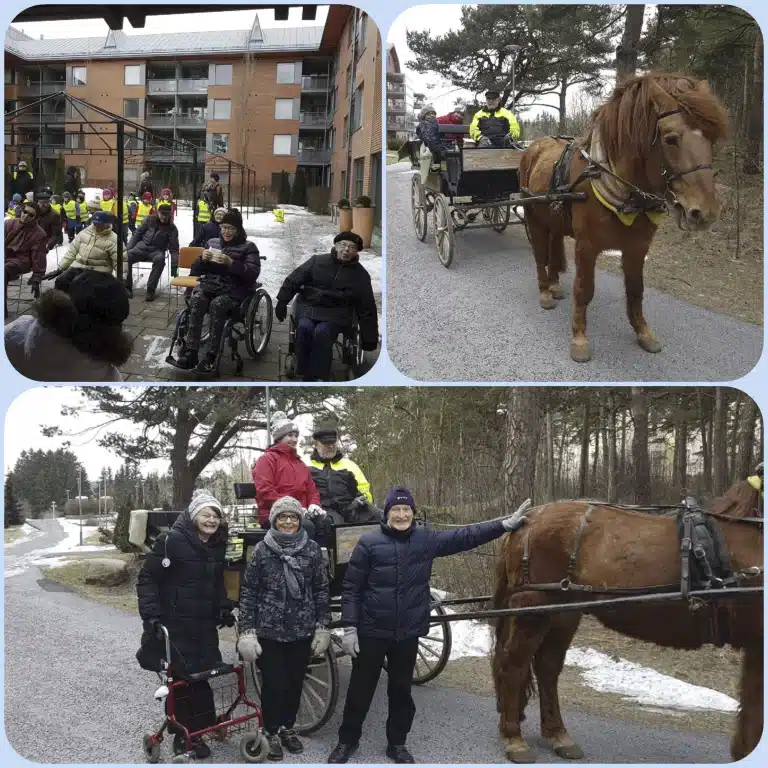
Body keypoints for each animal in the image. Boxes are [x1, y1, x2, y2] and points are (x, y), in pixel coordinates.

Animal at [492, 480, 760, 760]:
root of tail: (528, 519)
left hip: (564, 612)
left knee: (547, 667)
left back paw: (557, 734)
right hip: (533, 608)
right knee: (514, 665)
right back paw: (514, 738)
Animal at [520, 73, 728, 362]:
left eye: (711, 138)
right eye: (671, 139)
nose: (705, 212)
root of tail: (534, 147)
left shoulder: (637, 247)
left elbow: (636, 291)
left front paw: (643, 333)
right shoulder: (587, 246)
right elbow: (584, 290)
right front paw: (580, 339)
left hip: (554, 220)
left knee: (552, 246)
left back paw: (554, 285)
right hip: (534, 217)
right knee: (540, 254)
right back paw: (544, 292)